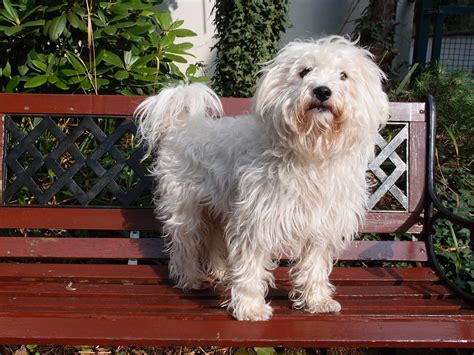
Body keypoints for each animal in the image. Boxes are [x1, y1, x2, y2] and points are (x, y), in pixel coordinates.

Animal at [135, 36, 386, 322]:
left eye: (344, 75)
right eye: (304, 72)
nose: (322, 91)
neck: (311, 153)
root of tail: (182, 124)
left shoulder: (321, 225)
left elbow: (314, 266)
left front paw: (317, 300)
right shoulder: (256, 220)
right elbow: (251, 266)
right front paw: (250, 307)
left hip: (218, 209)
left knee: (214, 240)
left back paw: (220, 272)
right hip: (185, 209)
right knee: (184, 245)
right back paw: (191, 278)